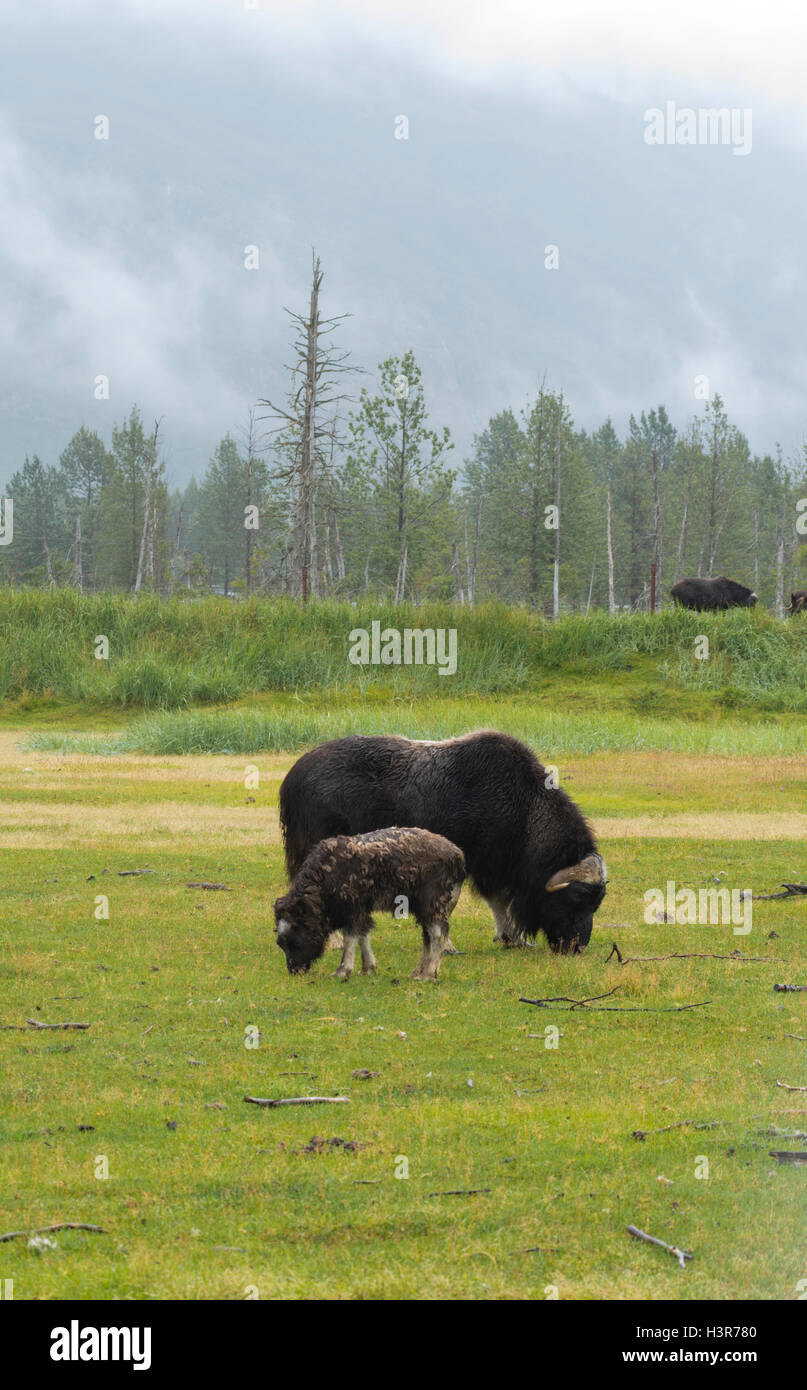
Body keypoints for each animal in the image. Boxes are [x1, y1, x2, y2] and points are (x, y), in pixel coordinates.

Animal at [273, 828, 463, 984]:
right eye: (280, 943)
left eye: (296, 941)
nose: (294, 970)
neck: (326, 879)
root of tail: (456, 852)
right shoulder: (360, 911)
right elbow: (363, 936)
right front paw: (367, 969)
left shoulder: (353, 911)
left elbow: (351, 938)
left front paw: (343, 970)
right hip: (421, 908)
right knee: (427, 937)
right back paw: (416, 972)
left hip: (432, 904)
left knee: (438, 934)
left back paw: (427, 975)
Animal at [280, 728, 608, 956]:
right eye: (576, 898)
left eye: (597, 903)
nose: (577, 947)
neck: (525, 808)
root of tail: (293, 775)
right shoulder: (468, 859)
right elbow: (456, 900)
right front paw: (450, 946)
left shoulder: (494, 865)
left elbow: (498, 900)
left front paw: (512, 939)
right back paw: (335, 940)